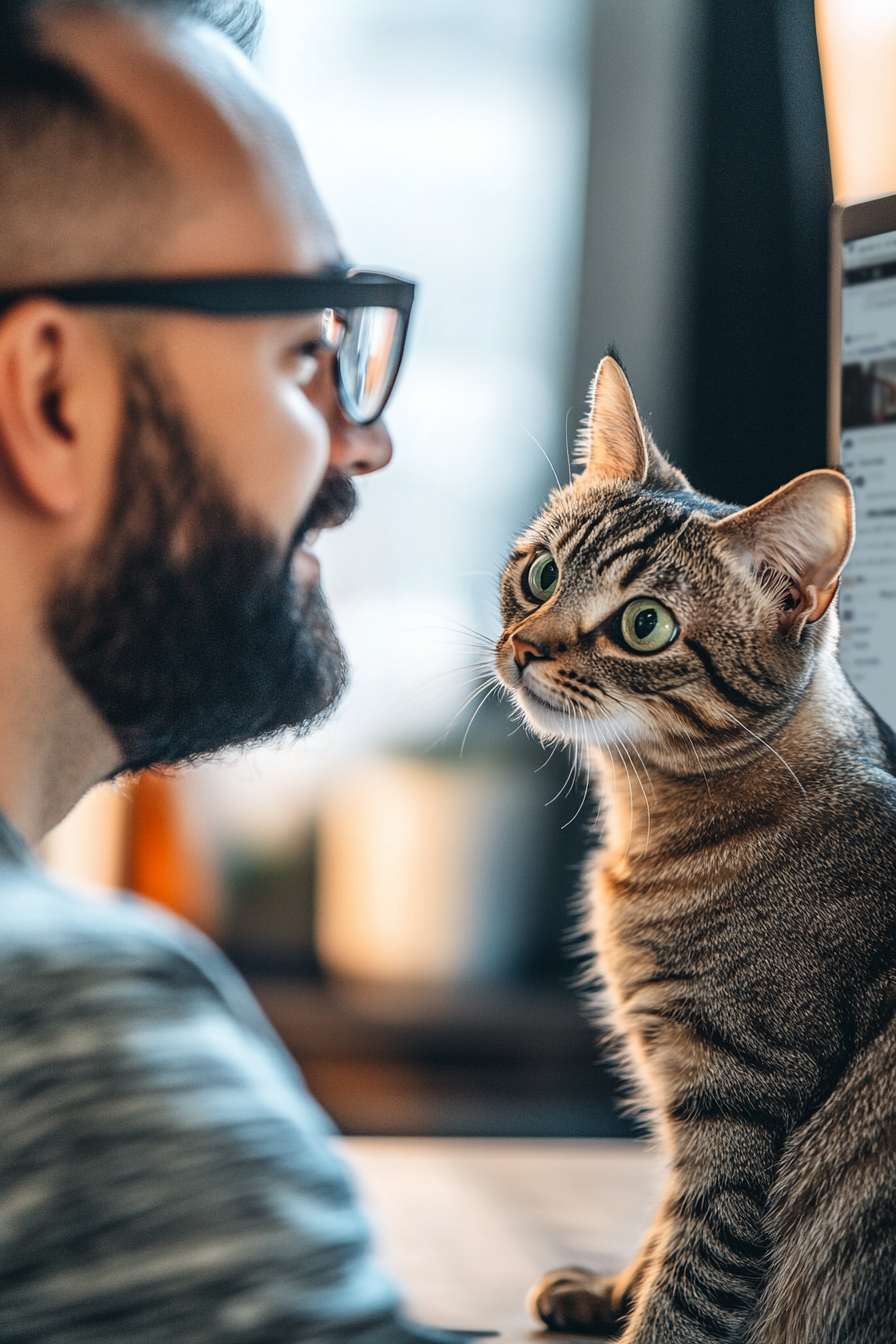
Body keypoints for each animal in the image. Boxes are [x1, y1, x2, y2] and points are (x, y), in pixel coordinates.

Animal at [494, 357, 896, 1344]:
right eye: (542, 572)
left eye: (645, 625)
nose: (525, 646)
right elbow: (660, 1225)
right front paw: (608, 1293)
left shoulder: (740, 1093)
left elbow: (694, 1268)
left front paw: (641, 1313)